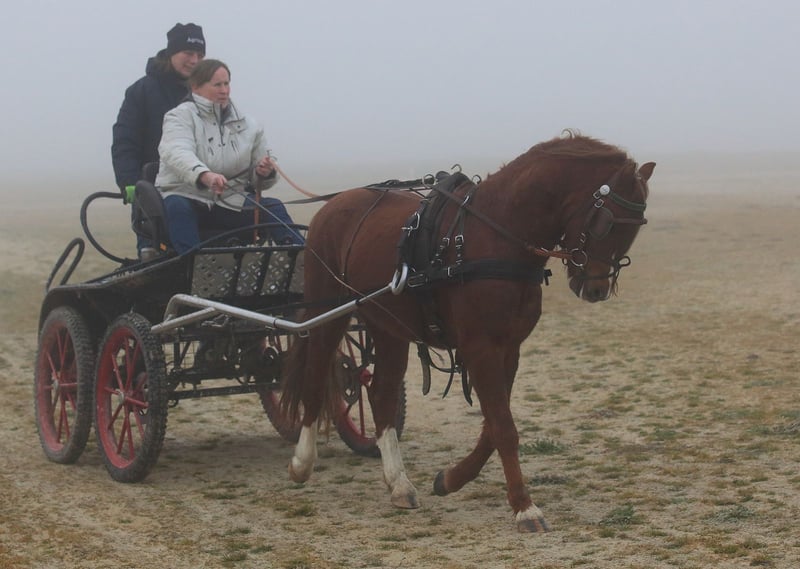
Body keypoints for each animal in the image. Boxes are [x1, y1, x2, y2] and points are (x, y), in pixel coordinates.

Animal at [280, 131, 655, 532]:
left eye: (637, 225)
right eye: (606, 222)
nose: (597, 288)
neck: (495, 235)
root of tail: (333, 205)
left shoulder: (509, 348)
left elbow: (493, 425)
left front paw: (451, 479)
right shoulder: (481, 348)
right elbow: (503, 426)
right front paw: (524, 507)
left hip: (387, 327)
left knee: (381, 393)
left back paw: (399, 484)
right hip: (326, 314)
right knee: (316, 377)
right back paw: (301, 463)